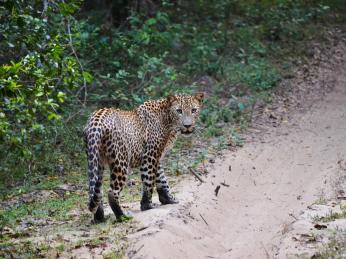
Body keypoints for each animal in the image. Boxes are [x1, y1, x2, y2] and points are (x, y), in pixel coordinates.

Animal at [83, 92, 204, 222]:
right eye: (179, 111)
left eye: (193, 110)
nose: (187, 125)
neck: (168, 120)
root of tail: (96, 120)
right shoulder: (150, 155)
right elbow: (149, 180)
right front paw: (147, 205)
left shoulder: (157, 156)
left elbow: (162, 178)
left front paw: (168, 199)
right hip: (121, 161)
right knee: (111, 192)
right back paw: (122, 216)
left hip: (96, 160)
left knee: (94, 190)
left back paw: (99, 217)